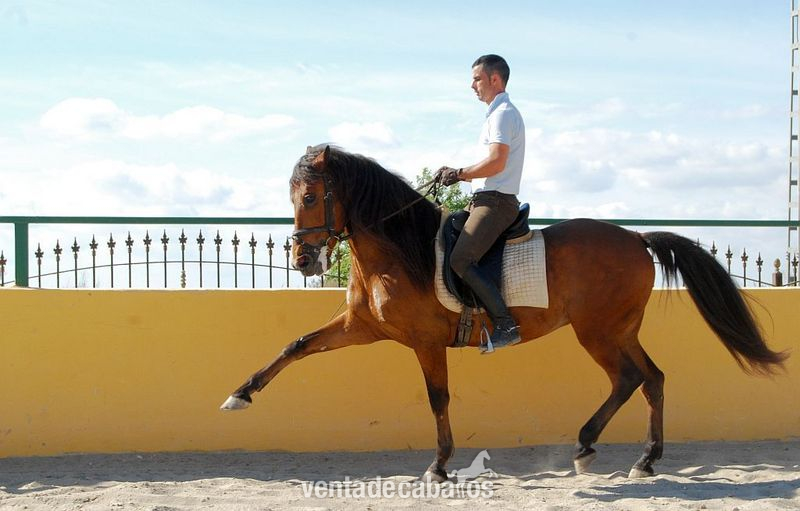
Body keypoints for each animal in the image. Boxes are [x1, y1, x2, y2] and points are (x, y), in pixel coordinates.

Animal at [221, 144, 788, 482]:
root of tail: (636, 239)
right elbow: (296, 345)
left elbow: (438, 398)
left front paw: (439, 465)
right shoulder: (361, 327)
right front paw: (239, 394)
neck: (397, 249)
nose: (302, 259)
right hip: (619, 329)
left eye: (310, 196)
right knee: (651, 379)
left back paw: (594, 447)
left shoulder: (425, 341)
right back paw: (642, 460)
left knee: (629, 378)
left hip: (598, 331)